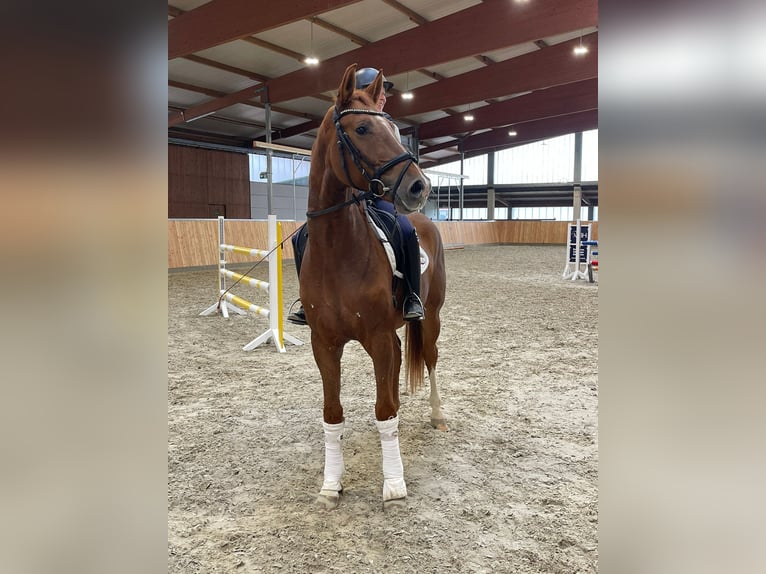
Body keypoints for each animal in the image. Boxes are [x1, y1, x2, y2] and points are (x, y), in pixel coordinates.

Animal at [300, 64, 447, 509]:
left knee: (429, 358)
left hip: (430, 317)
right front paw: (330, 485)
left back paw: (437, 415)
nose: (420, 187)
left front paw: (394, 483)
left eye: (394, 129)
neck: (337, 251)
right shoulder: (324, 343)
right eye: (362, 128)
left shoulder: (377, 336)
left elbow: (384, 412)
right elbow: (333, 414)